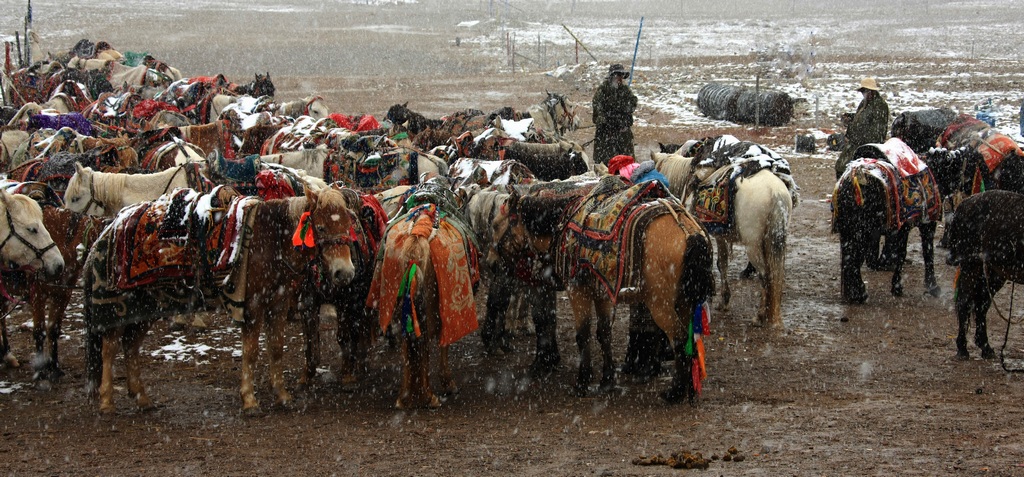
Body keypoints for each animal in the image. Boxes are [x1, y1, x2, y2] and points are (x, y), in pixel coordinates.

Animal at [80, 188, 356, 411]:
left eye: (348, 225)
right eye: (321, 227)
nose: (344, 273)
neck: (272, 240)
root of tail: (105, 232)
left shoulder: (277, 305)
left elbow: (276, 349)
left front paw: (282, 396)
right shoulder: (252, 307)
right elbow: (251, 353)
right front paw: (250, 400)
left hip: (145, 308)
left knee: (131, 346)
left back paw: (142, 398)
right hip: (117, 307)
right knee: (109, 348)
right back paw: (107, 401)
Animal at [491, 177, 716, 401]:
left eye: (495, 225)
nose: (493, 261)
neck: (561, 223)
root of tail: (689, 230)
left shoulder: (577, 290)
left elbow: (583, 335)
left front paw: (582, 382)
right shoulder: (602, 292)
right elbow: (604, 333)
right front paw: (607, 380)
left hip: (660, 304)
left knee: (678, 338)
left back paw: (674, 392)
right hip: (684, 300)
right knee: (689, 339)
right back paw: (687, 388)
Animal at [647, 147, 798, 329]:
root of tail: (774, 192)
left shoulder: (715, 234)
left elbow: (721, 264)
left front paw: (723, 301)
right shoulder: (722, 235)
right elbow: (723, 262)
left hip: (753, 245)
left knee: (765, 275)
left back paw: (759, 316)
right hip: (772, 240)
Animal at [831, 138, 942, 300]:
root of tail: (855, 176)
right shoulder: (923, 224)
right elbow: (922, 253)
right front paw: (930, 286)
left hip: (849, 229)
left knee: (850, 258)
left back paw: (855, 294)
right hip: (864, 230)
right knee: (855, 258)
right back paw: (860, 294)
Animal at [942, 188, 1024, 360]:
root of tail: (964, 204)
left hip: (993, 272)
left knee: (981, 304)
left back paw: (985, 346)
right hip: (971, 265)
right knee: (965, 301)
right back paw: (962, 348)